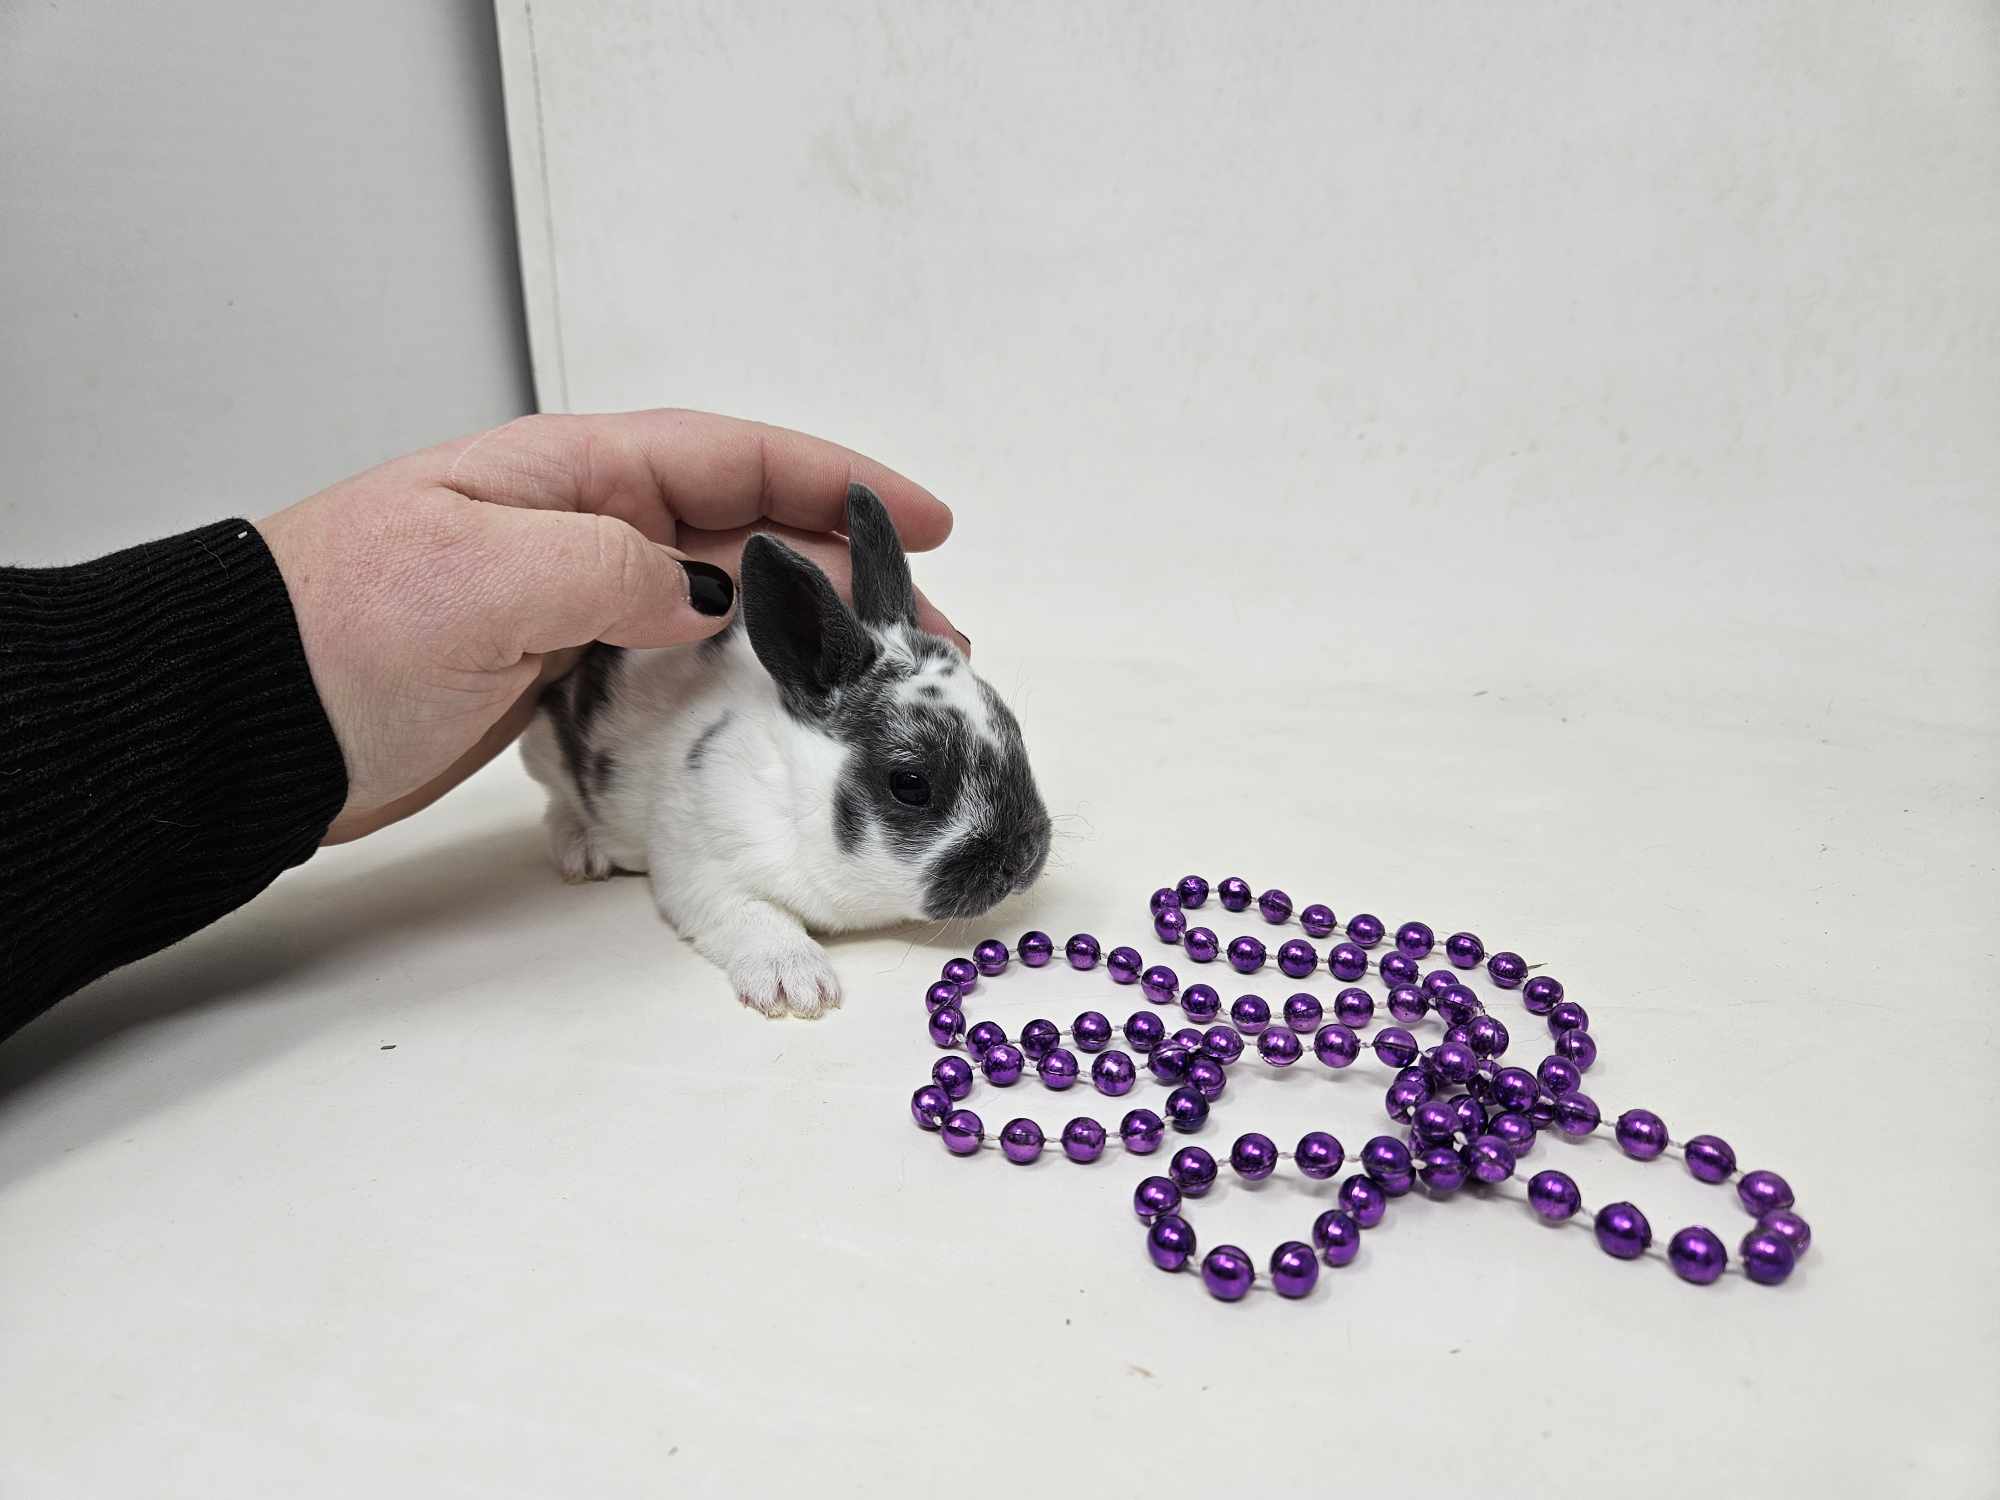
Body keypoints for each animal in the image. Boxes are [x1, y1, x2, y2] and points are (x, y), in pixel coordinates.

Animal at [520, 488, 1048, 1016]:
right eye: (911, 785)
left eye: (1015, 730)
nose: (1022, 858)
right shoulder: (700, 862)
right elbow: (754, 916)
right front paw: (795, 985)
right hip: (548, 751)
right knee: (557, 803)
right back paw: (584, 853)